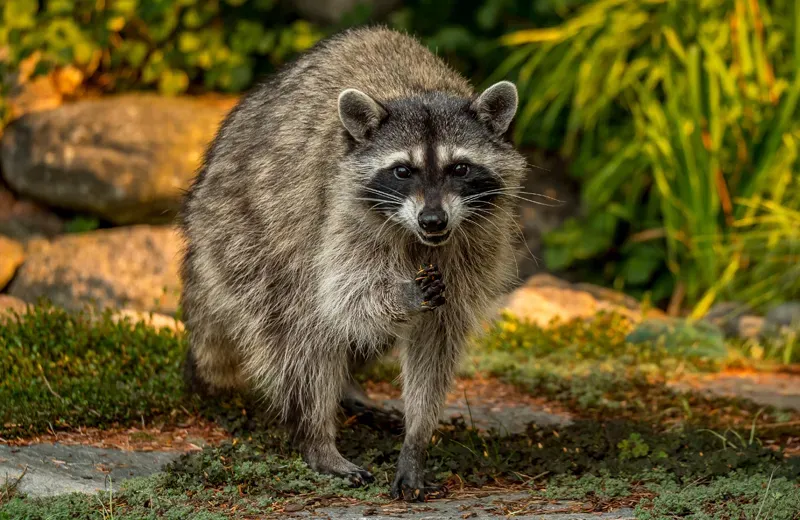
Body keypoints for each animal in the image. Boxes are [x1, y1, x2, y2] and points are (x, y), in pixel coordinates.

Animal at [183, 26, 532, 502]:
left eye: (460, 168)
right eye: (402, 171)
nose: (433, 220)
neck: (416, 90)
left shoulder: (476, 240)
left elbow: (437, 336)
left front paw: (416, 438)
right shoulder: (341, 212)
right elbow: (344, 297)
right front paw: (402, 295)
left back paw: (347, 389)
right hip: (246, 235)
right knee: (300, 326)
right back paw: (316, 435)